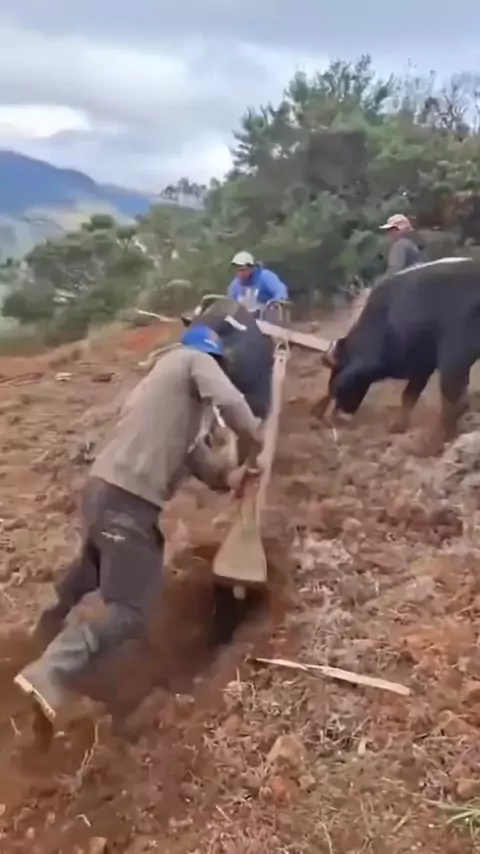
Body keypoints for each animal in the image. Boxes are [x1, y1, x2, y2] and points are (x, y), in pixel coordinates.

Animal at [313, 258, 480, 453]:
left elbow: (452, 399)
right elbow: (408, 396)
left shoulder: (452, 358)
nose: (339, 417)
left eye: (336, 369)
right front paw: (398, 427)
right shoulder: (422, 367)